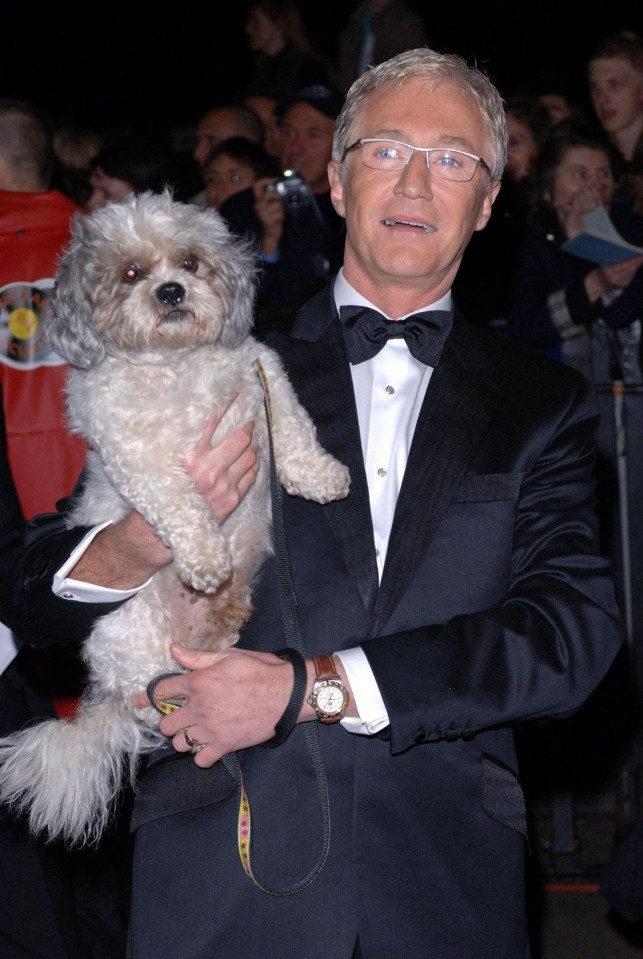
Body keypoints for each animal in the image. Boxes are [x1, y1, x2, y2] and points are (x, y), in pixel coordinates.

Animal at [0, 188, 350, 848]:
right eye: (130, 273)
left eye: (190, 263)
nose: (169, 291)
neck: (173, 366)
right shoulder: (136, 454)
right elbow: (177, 500)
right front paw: (206, 557)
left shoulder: (261, 371)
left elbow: (293, 424)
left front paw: (319, 474)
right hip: (136, 643)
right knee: (154, 700)